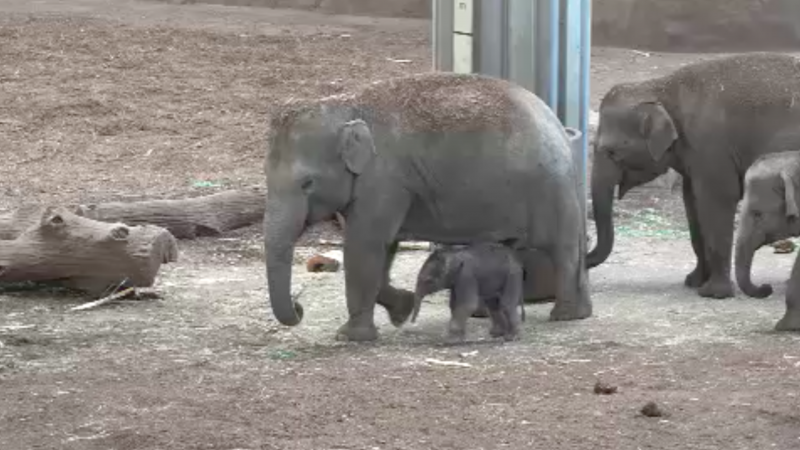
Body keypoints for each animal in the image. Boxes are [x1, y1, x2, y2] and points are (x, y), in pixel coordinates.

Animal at [266, 71, 592, 342]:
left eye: (307, 183)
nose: (299, 306)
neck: (346, 106)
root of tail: (560, 131)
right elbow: (384, 248)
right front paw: (401, 309)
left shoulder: (384, 181)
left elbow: (364, 246)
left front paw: (350, 337)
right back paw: (574, 313)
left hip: (550, 191)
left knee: (562, 249)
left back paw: (563, 316)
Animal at [584, 51, 800, 298]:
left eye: (611, 152)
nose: (585, 253)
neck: (661, 88)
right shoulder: (694, 158)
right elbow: (691, 203)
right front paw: (693, 281)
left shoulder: (711, 146)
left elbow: (717, 200)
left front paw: (714, 293)